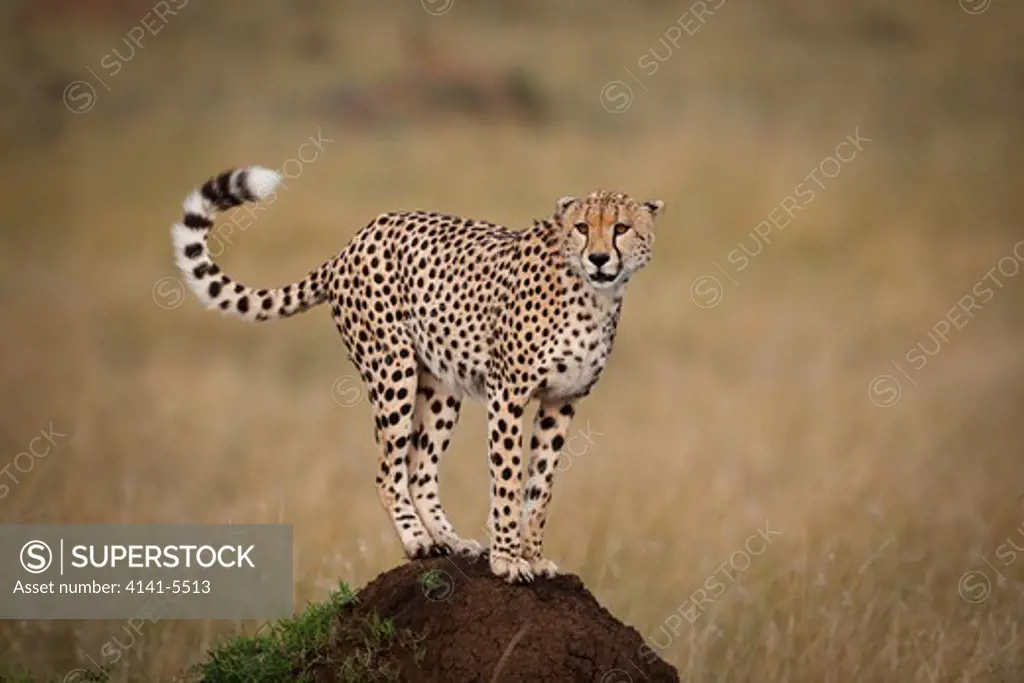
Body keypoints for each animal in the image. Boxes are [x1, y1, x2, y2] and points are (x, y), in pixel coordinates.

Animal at [169, 165, 663, 581]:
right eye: (582, 228)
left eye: (620, 228)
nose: (599, 258)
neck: (594, 296)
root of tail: (358, 238)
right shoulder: (508, 394)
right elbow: (507, 478)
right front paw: (507, 559)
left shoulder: (561, 401)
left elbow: (539, 488)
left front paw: (533, 556)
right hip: (392, 370)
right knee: (388, 472)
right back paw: (417, 541)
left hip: (442, 386)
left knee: (419, 468)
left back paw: (450, 540)